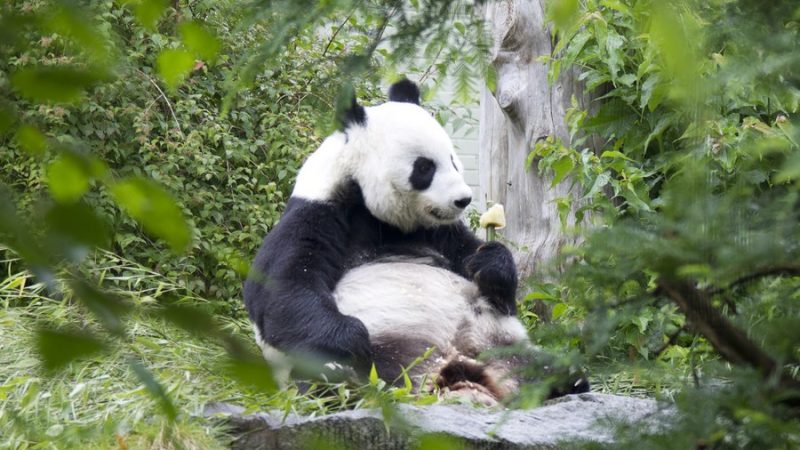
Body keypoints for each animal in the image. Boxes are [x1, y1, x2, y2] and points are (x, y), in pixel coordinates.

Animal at [243, 79, 581, 404]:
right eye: (424, 167)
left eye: (453, 161)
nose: (463, 199)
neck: (374, 210)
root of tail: (452, 371)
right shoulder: (319, 212)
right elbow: (281, 290)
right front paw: (353, 339)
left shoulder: (437, 231)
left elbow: (480, 267)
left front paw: (490, 264)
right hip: (385, 354)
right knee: (329, 378)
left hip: (498, 343)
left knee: (548, 365)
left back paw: (566, 383)